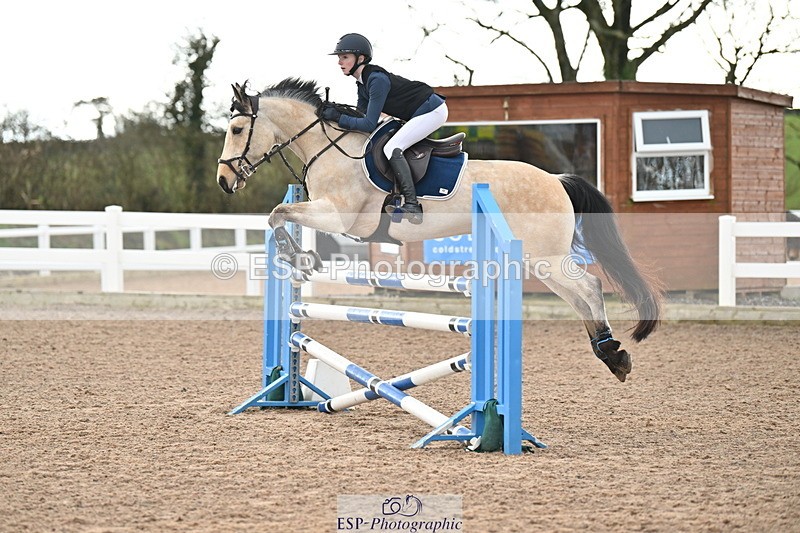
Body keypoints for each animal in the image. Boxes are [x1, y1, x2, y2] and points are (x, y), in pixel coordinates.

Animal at [216, 78, 663, 382]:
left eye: (237, 130)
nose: (223, 181)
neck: (329, 148)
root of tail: (556, 179)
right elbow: (280, 214)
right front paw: (301, 258)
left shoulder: (339, 216)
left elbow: (277, 213)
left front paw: (299, 258)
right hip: (539, 259)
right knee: (577, 296)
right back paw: (610, 355)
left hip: (546, 256)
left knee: (588, 287)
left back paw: (612, 350)